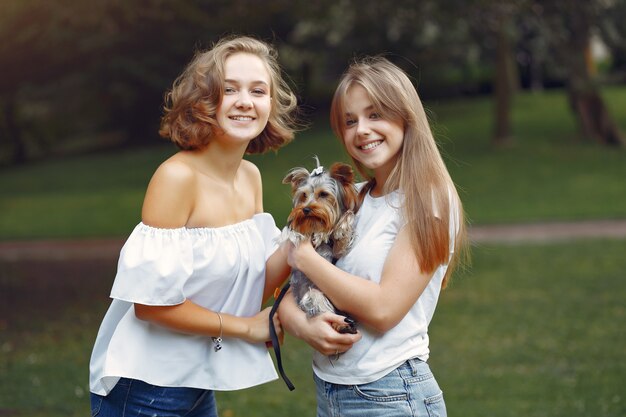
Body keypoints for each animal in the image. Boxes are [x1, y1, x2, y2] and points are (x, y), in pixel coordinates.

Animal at [278, 158, 356, 334]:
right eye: (304, 195)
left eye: (324, 194)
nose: (305, 209)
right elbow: (296, 232)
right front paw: (313, 234)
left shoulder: (337, 250)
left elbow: (348, 216)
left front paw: (340, 229)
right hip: (311, 295)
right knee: (320, 304)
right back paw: (342, 325)